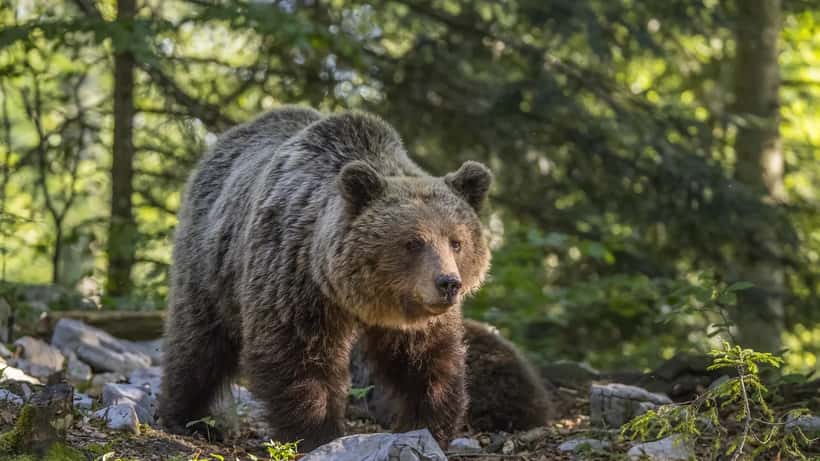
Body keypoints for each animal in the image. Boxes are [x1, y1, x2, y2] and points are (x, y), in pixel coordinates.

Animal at [158, 107, 493, 451]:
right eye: (413, 242)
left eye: (457, 242)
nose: (448, 283)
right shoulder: (295, 280)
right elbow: (297, 356)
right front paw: (317, 433)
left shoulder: (414, 316)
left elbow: (428, 362)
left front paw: (427, 425)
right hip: (210, 262)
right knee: (199, 341)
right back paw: (189, 418)